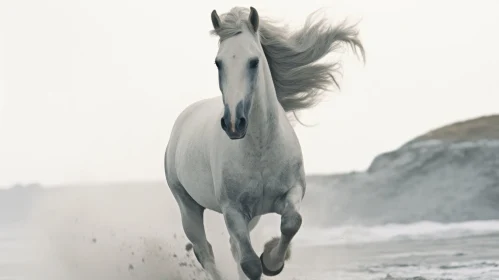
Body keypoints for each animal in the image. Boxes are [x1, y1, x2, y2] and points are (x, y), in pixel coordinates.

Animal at [166, 6, 366, 280]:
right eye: (219, 62)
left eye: (254, 61)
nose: (234, 123)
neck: (260, 148)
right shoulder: (233, 210)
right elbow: (250, 265)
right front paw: (266, 261)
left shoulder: (291, 192)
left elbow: (291, 223)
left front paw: (272, 260)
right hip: (188, 205)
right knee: (205, 250)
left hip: (252, 217)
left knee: (232, 247)